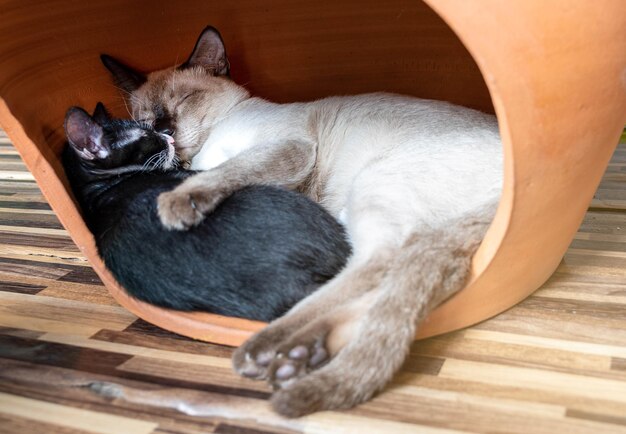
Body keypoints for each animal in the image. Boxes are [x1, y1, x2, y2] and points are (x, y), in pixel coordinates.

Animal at [102, 24, 502, 418]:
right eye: (143, 121)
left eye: (184, 100)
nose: (164, 131)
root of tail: (509, 182)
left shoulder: (288, 149)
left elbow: (223, 171)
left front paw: (172, 202)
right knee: (402, 285)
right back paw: (301, 355)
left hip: (371, 186)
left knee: (381, 263)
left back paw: (266, 351)